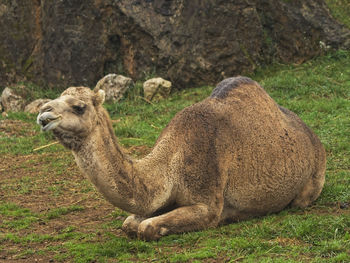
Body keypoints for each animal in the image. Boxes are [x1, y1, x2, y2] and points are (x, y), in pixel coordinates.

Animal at [37, 76, 326, 241]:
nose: (43, 114)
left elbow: (146, 228)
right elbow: (130, 224)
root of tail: (313, 137)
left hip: (311, 183)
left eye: (79, 107)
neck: (169, 167)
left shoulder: (208, 203)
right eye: (54, 99)